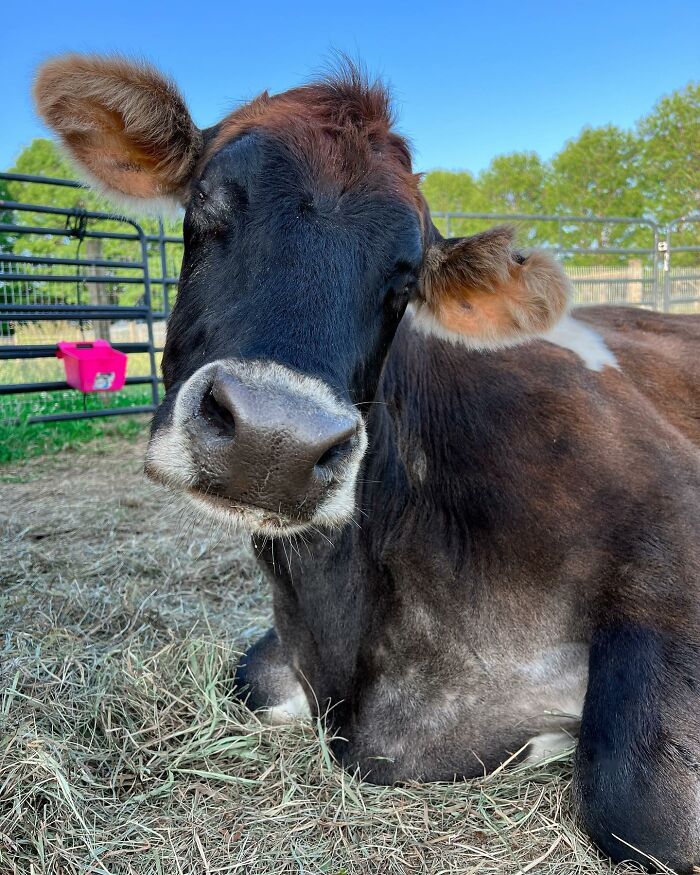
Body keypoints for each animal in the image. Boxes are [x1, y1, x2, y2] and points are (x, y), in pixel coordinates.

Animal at [34, 54, 700, 871]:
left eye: (405, 282)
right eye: (206, 206)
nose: (275, 440)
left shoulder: (671, 531)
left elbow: (641, 813)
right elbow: (250, 678)